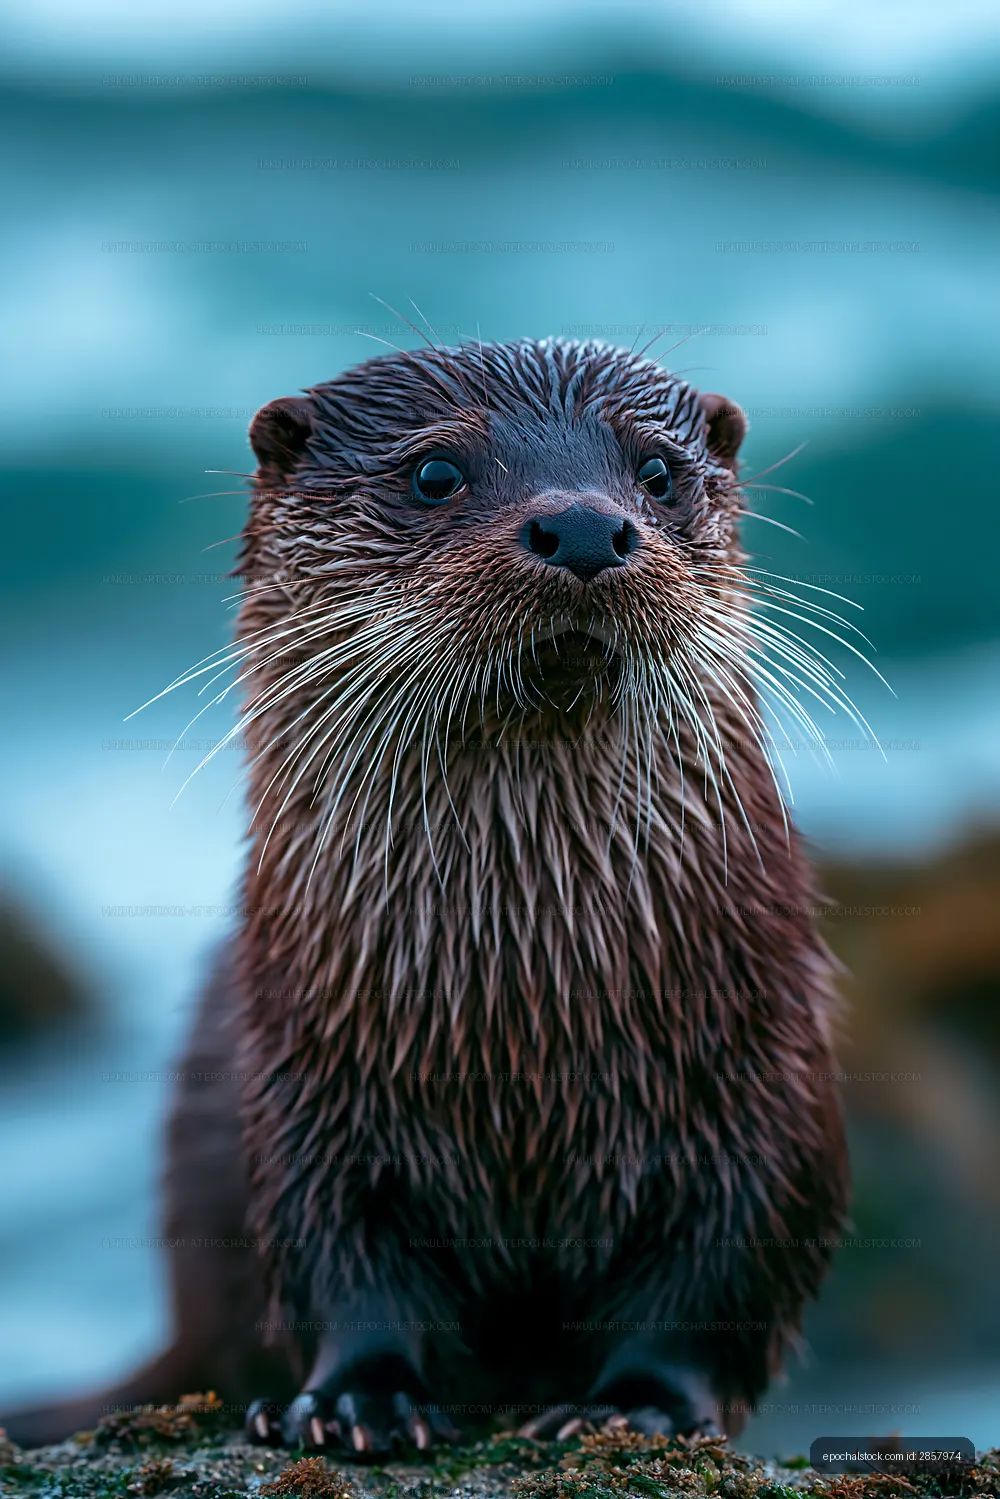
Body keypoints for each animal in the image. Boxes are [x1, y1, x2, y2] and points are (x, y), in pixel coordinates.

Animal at [4, 337, 849, 1454]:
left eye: (659, 471)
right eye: (436, 472)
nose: (585, 525)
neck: (527, 1020)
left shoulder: (764, 1081)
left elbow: (718, 1274)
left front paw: (636, 1406)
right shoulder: (308, 1082)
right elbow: (344, 1256)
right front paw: (358, 1399)